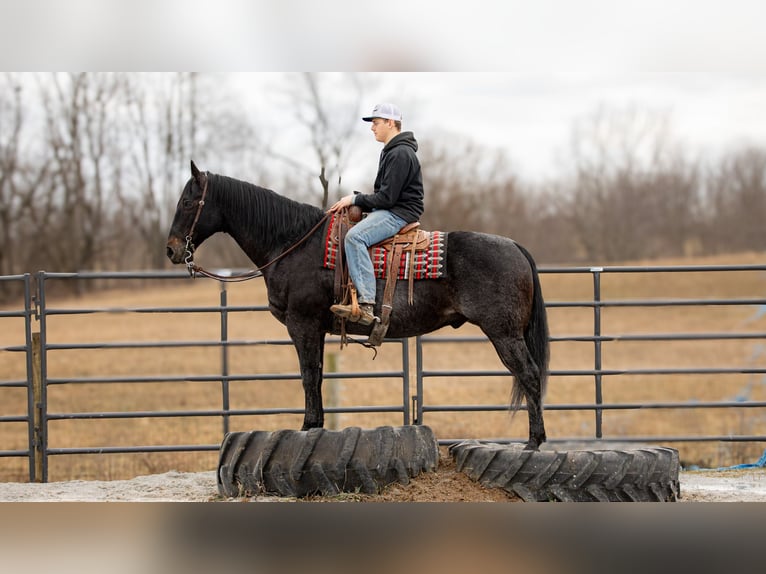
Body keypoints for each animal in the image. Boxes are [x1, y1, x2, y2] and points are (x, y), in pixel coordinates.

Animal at [166, 161, 552, 450]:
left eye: (187, 202)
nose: (171, 249)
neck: (291, 242)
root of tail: (514, 246)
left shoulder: (302, 324)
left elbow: (308, 375)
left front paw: (307, 426)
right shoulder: (315, 329)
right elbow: (318, 375)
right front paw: (316, 425)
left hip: (504, 334)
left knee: (530, 375)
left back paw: (534, 442)